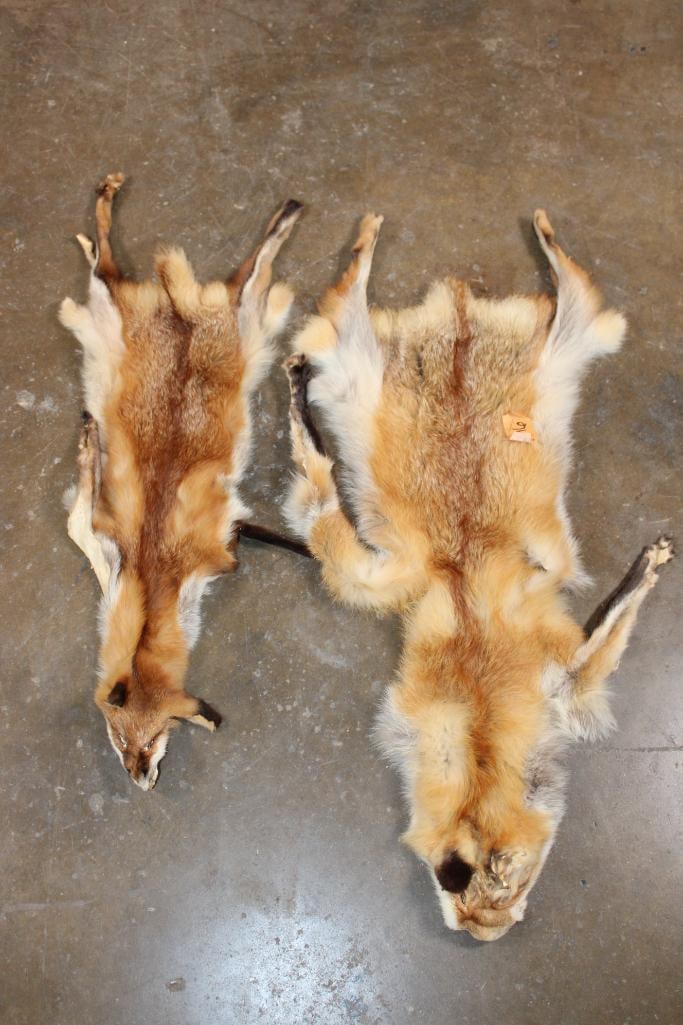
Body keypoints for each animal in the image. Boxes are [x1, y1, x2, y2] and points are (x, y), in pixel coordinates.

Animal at [60, 174, 302, 789]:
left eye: (150, 740)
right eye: (121, 740)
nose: (140, 780)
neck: (151, 591)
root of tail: (178, 309)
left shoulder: (215, 544)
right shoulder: (109, 554)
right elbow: (77, 511)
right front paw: (88, 447)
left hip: (240, 322)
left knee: (244, 267)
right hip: (164, 314)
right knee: (115, 261)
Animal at [282, 211, 674, 940]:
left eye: (508, 898)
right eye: (475, 916)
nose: (492, 934)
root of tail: (458, 310)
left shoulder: (552, 666)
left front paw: (646, 566)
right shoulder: (402, 584)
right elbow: (319, 510)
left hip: (563, 348)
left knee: (573, 286)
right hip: (356, 366)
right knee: (346, 298)